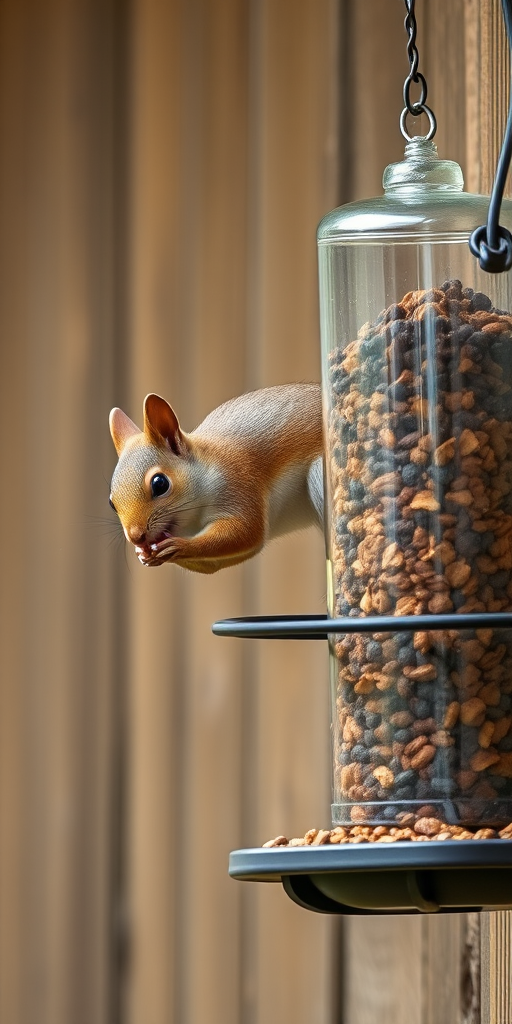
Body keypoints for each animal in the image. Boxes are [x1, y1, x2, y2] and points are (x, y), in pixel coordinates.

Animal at [109, 384, 324, 574]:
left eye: (160, 484)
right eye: (111, 502)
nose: (136, 537)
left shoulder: (239, 482)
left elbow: (245, 530)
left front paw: (179, 545)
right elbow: (215, 564)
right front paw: (144, 554)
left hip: (317, 476)